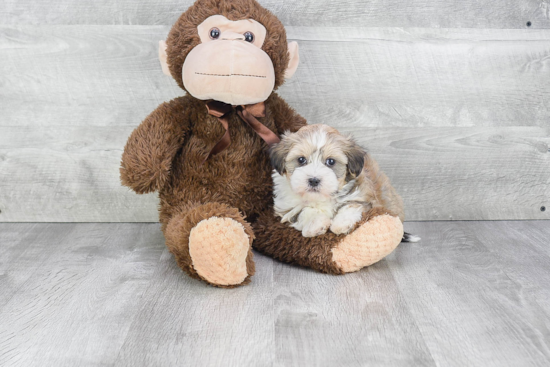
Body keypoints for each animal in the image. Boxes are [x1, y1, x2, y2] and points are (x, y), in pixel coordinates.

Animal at [272, 123, 422, 242]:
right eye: (301, 159)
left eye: (331, 161)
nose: (314, 180)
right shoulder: (287, 207)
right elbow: (302, 211)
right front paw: (316, 224)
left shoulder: (362, 195)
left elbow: (351, 206)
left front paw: (341, 224)